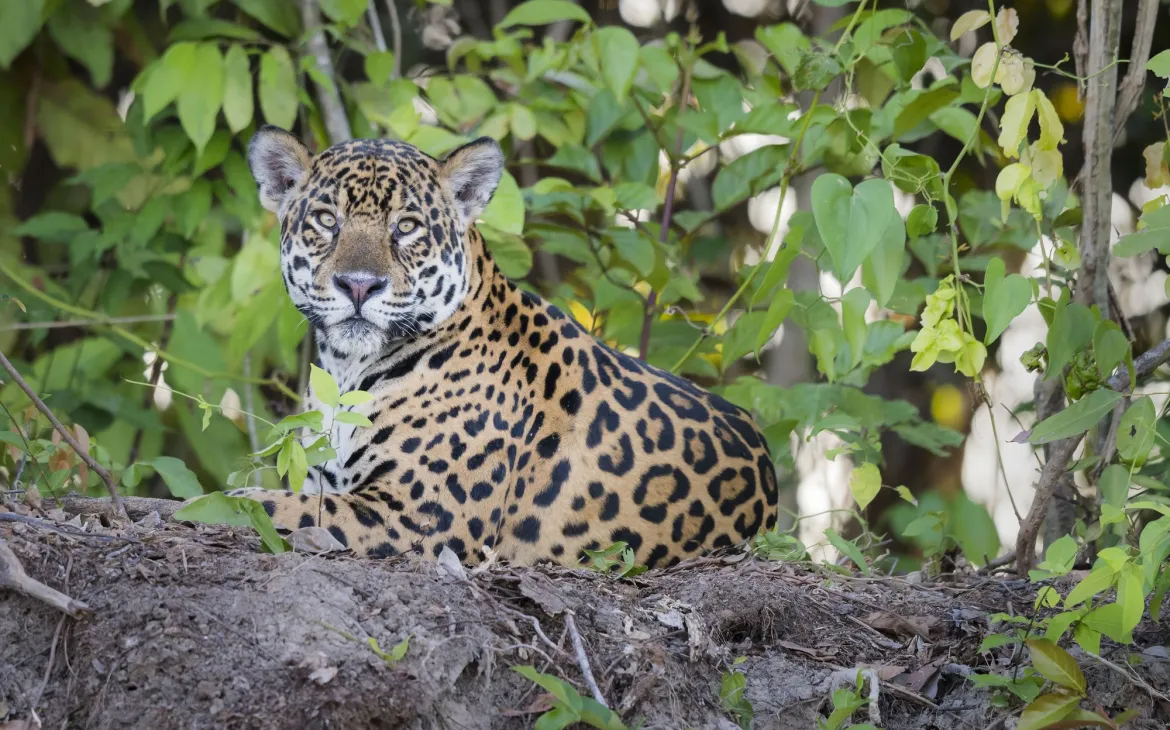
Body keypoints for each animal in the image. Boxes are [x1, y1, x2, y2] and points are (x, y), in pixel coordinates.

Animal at [229, 125, 779, 568]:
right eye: (326, 220)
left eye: (406, 226)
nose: (358, 285)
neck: (347, 373)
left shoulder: (416, 516)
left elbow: (265, 505)